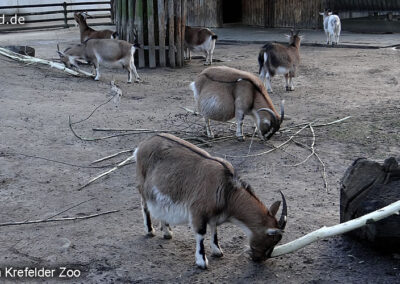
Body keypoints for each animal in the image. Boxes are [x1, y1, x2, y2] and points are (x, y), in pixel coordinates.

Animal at [135, 134, 288, 270]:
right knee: (145, 205)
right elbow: (201, 234)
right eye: (271, 241)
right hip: (143, 184)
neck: (227, 191)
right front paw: (202, 262)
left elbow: (214, 229)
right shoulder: (198, 211)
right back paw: (150, 231)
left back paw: (167, 232)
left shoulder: (214, 215)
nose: (259, 259)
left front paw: (217, 251)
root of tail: (141, 146)